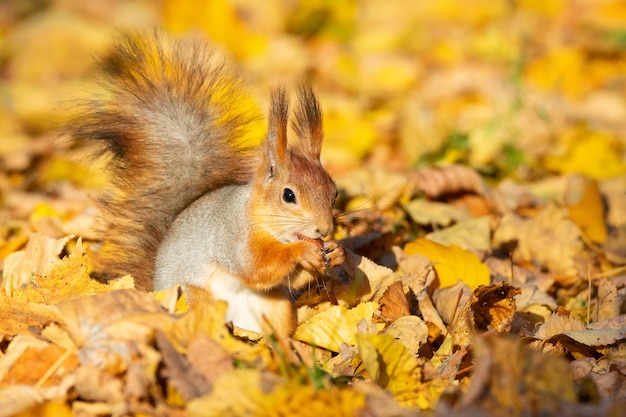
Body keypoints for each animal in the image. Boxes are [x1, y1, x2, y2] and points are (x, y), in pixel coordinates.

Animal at [73, 30, 346, 336]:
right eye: (288, 196)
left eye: (334, 193)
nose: (324, 229)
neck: (261, 219)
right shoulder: (234, 238)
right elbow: (257, 268)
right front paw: (302, 251)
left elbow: (289, 279)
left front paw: (337, 251)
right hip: (195, 297)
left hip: (276, 307)